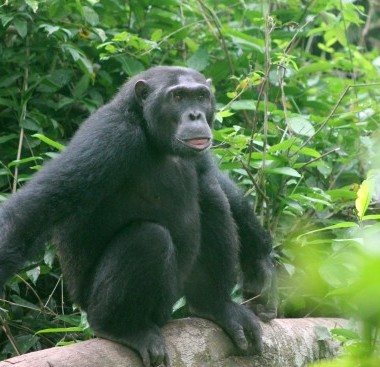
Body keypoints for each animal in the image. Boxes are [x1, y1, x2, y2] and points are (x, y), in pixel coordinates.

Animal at [0, 67, 274, 367]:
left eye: (201, 96)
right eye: (178, 97)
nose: (195, 115)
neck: (149, 130)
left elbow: (214, 178)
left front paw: (260, 266)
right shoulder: (110, 138)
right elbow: (34, 210)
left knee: (211, 195)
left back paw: (216, 305)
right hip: (143, 305)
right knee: (148, 238)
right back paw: (123, 328)